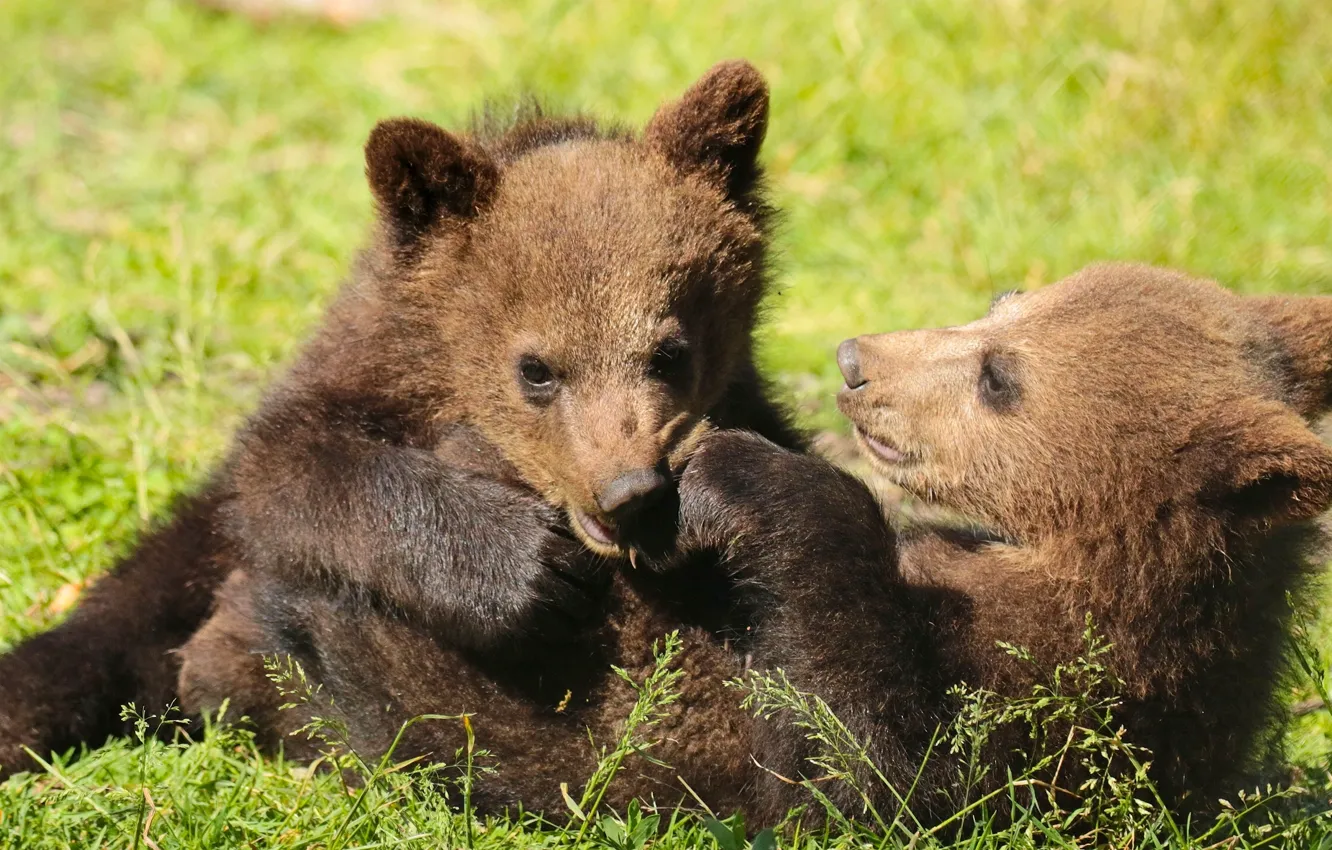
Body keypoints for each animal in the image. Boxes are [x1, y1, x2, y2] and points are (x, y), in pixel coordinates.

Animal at [0, 59, 803, 781]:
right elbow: (291, 474)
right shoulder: (354, 373)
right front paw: (525, 566)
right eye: (536, 368)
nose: (628, 492)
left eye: (670, 351)